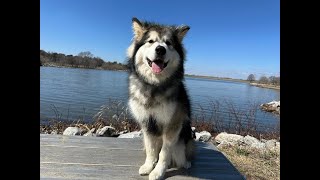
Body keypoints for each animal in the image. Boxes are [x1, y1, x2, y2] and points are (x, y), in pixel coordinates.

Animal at [127, 17, 192, 180]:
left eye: (168, 43)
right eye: (150, 41)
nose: (160, 49)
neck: (154, 85)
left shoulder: (172, 125)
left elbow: (164, 152)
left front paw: (158, 172)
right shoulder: (147, 123)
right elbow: (151, 149)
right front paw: (148, 166)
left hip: (182, 141)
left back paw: (186, 163)